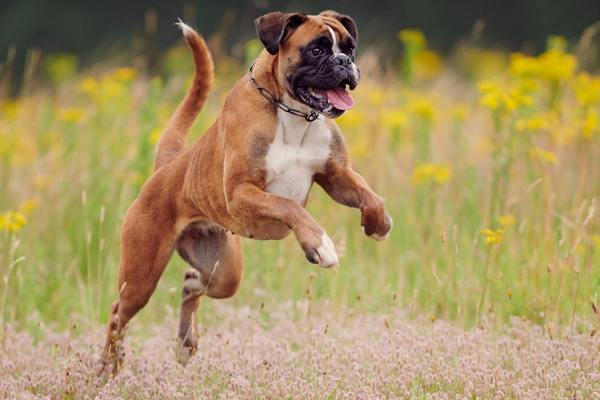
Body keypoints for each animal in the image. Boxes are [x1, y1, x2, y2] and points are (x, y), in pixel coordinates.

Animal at [99, 10, 394, 376]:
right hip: (140, 278)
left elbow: (370, 196)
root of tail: (169, 165)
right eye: (316, 50)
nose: (345, 63)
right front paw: (320, 245)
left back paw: (185, 342)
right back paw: (108, 368)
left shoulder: (336, 176)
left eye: (350, 48)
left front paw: (378, 224)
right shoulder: (241, 193)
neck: (294, 113)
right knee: (118, 315)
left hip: (224, 271)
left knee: (192, 282)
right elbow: (290, 207)